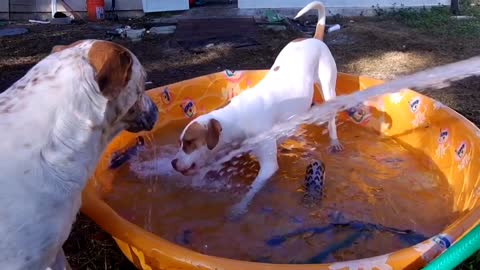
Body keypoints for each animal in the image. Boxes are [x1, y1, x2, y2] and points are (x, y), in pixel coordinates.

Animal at [172, 1, 342, 218]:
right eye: (181, 143)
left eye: (189, 143)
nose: (173, 163)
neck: (237, 120)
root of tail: (314, 39)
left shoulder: (268, 166)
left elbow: (252, 190)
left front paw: (238, 209)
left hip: (328, 89)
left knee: (331, 119)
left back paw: (334, 141)